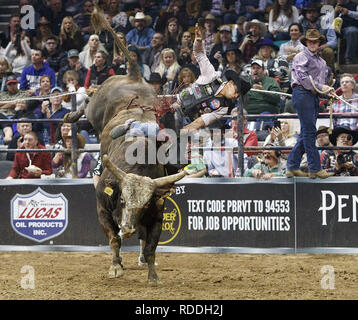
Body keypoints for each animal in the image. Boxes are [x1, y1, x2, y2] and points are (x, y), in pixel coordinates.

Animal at [64, 7, 187, 284]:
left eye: (143, 204)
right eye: (121, 200)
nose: (129, 228)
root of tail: (133, 75)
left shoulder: (157, 215)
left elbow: (150, 246)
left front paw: (152, 274)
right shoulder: (102, 207)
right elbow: (112, 239)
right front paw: (116, 267)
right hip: (96, 106)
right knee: (88, 96)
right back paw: (71, 115)